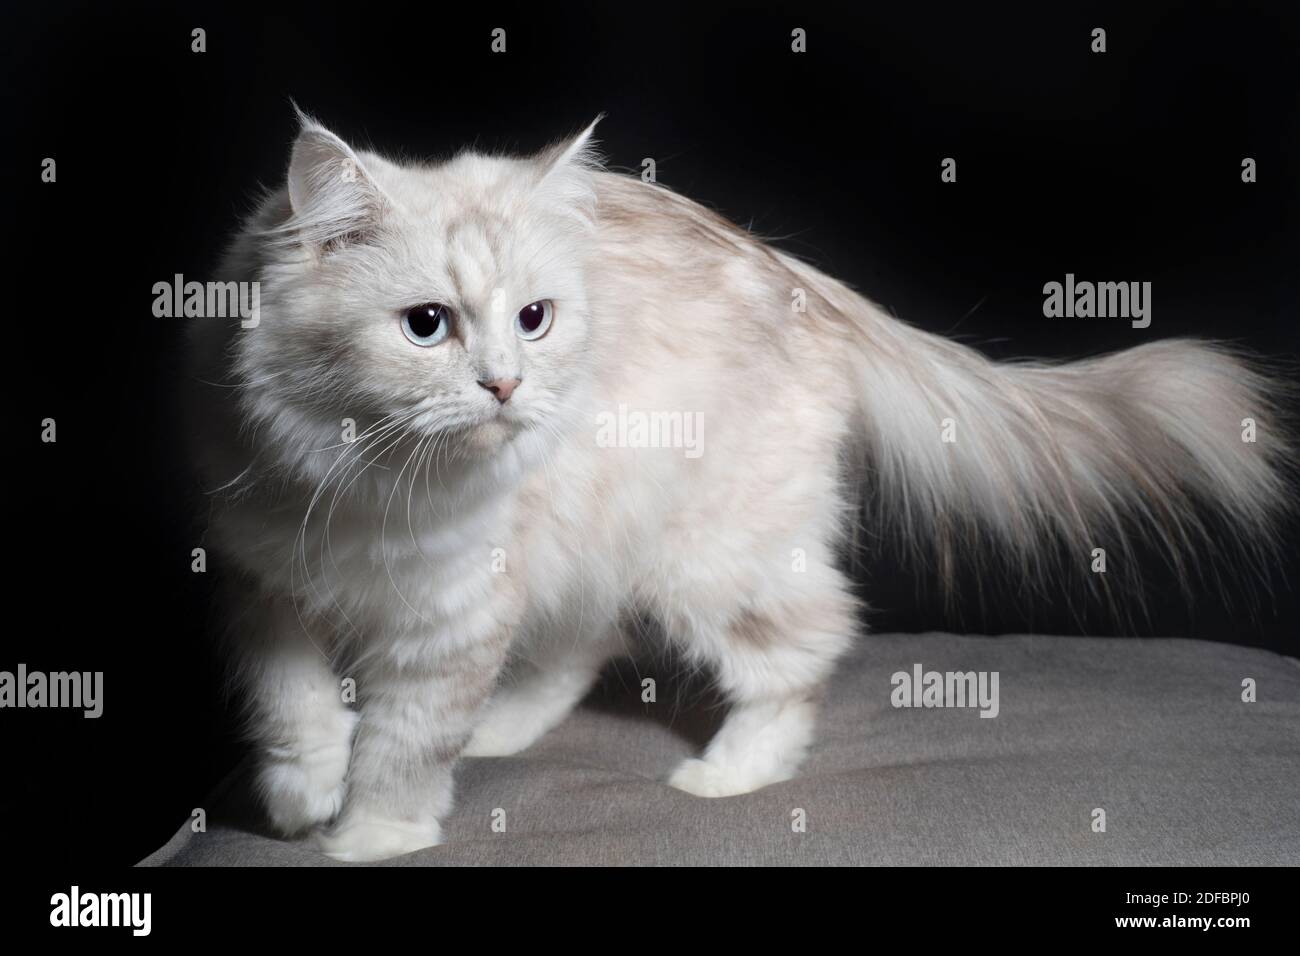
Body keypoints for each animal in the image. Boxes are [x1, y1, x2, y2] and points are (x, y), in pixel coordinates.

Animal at [189, 113, 1289, 868]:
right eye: (426, 325)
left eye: (535, 318)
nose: (505, 384)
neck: (363, 480)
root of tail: (806, 281)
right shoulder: (261, 583)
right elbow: (293, 705)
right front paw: (301, 798)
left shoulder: (452, 618)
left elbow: (402, 742)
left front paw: (369, 836)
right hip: (603, 539)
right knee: (587, 640)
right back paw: (502, 731)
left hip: (711, 556)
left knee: (805, 645)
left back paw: (728, 775)